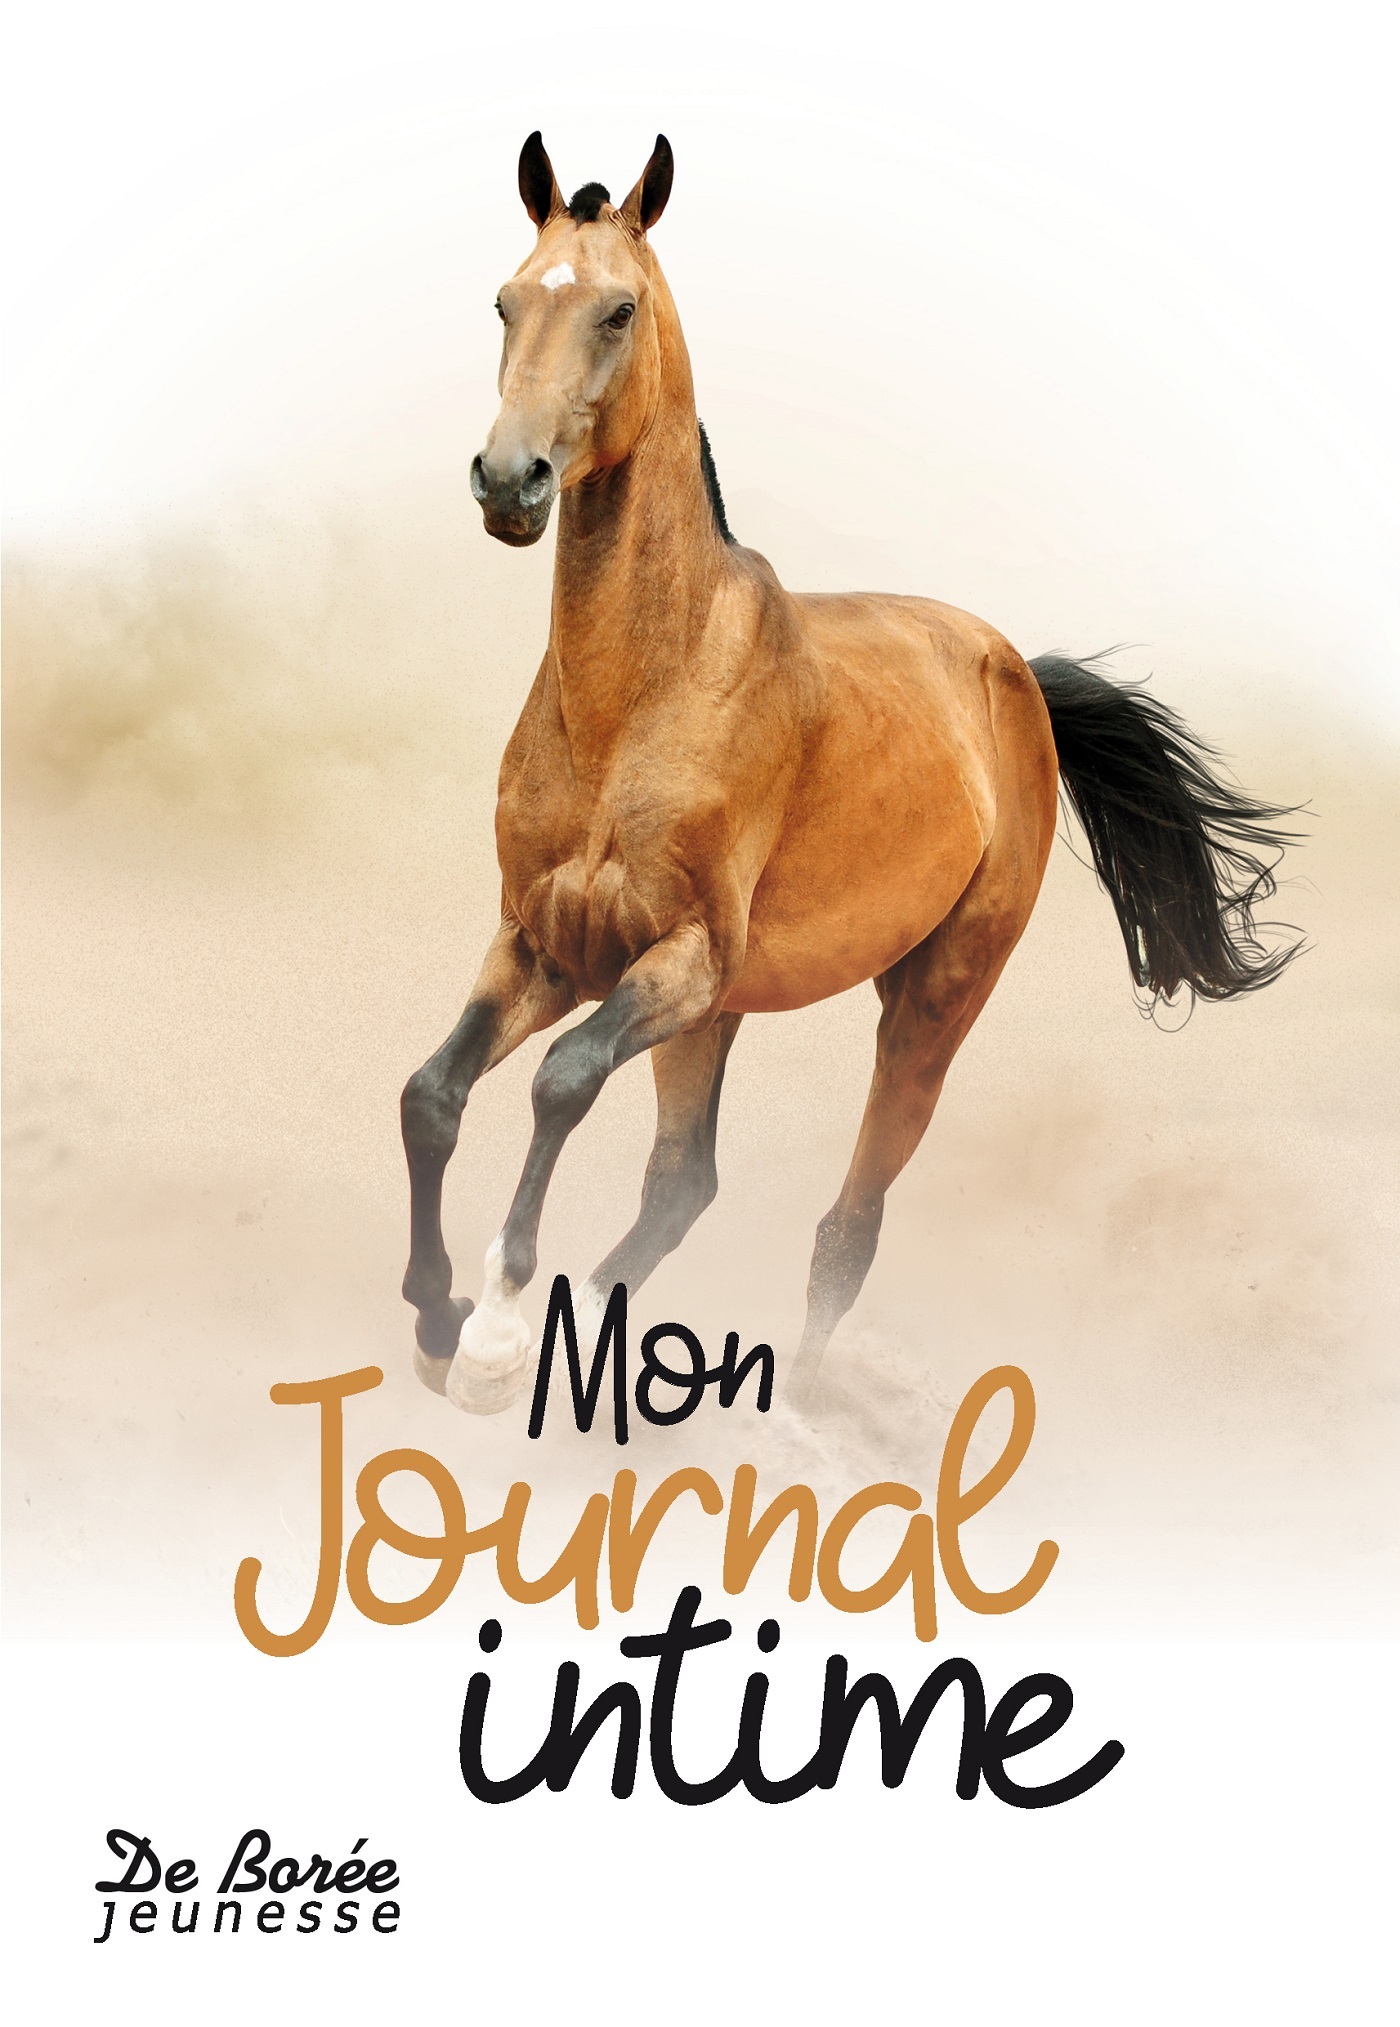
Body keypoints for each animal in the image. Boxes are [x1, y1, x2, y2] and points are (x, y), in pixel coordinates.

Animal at [400, 131, 1299, 1415]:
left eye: (618, 309)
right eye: (505, 300)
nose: (507, 481)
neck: (636, 700)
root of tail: (1012, 673)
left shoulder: (673, 956)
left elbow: (560, 1082)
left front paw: (495, 1324)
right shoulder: (545, 942)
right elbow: (433, 1094)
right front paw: (438, 1318)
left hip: (925, 1002)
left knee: (846, 1228)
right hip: (717, 1008)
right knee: (683, 1183)